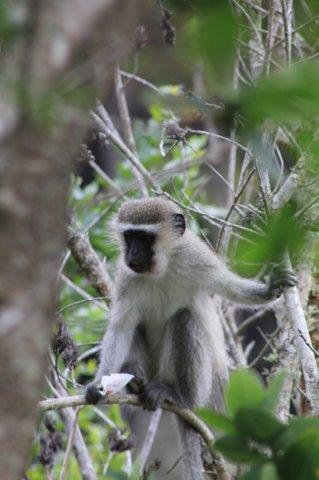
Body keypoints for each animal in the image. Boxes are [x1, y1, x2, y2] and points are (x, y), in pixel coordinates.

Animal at [85, 196, 298, 480]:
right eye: (130, 237)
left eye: (144, 238)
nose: (133, 254)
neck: (161, 268)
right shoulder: (126, 276)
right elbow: (121, 328)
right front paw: (99, 383)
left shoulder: (197, 257)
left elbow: (231, 288)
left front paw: (268, 289)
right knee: (138, 326)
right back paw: (135, 380)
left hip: (198, 379)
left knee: (184, 318)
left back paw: (179, 396)